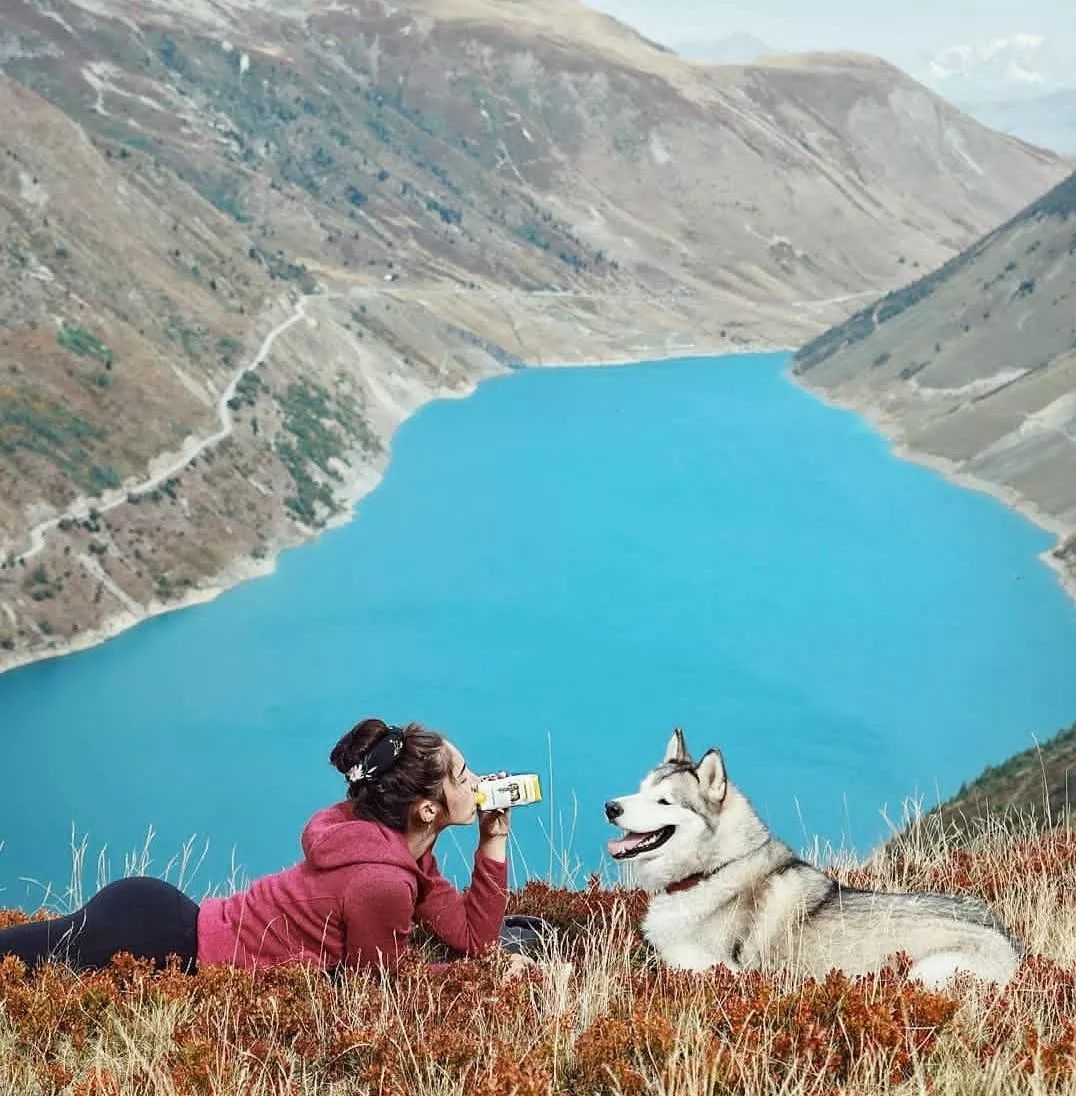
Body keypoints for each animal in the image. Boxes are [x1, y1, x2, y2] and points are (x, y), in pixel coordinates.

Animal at [604, 732, 1021, 990]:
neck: (713, 870)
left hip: (924, 972)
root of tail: (1015, 950)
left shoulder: (708, 970)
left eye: (664, 801)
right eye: (639, 790)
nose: (610, 807)